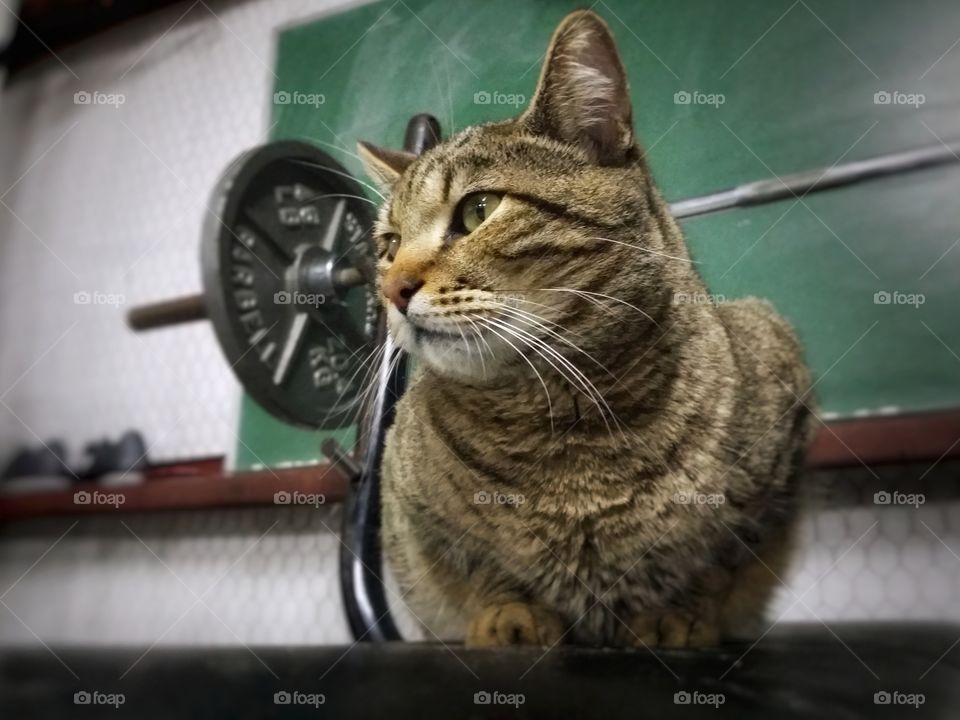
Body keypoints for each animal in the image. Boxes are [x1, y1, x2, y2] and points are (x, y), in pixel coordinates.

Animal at [356, 7, 812, 648]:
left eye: (477, 210)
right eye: (388, 246)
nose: (393, 289)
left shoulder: (778, 441)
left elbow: (718, 560)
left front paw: (677, 613)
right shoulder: (408, 509)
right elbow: (476, 566)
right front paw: (508, 615)